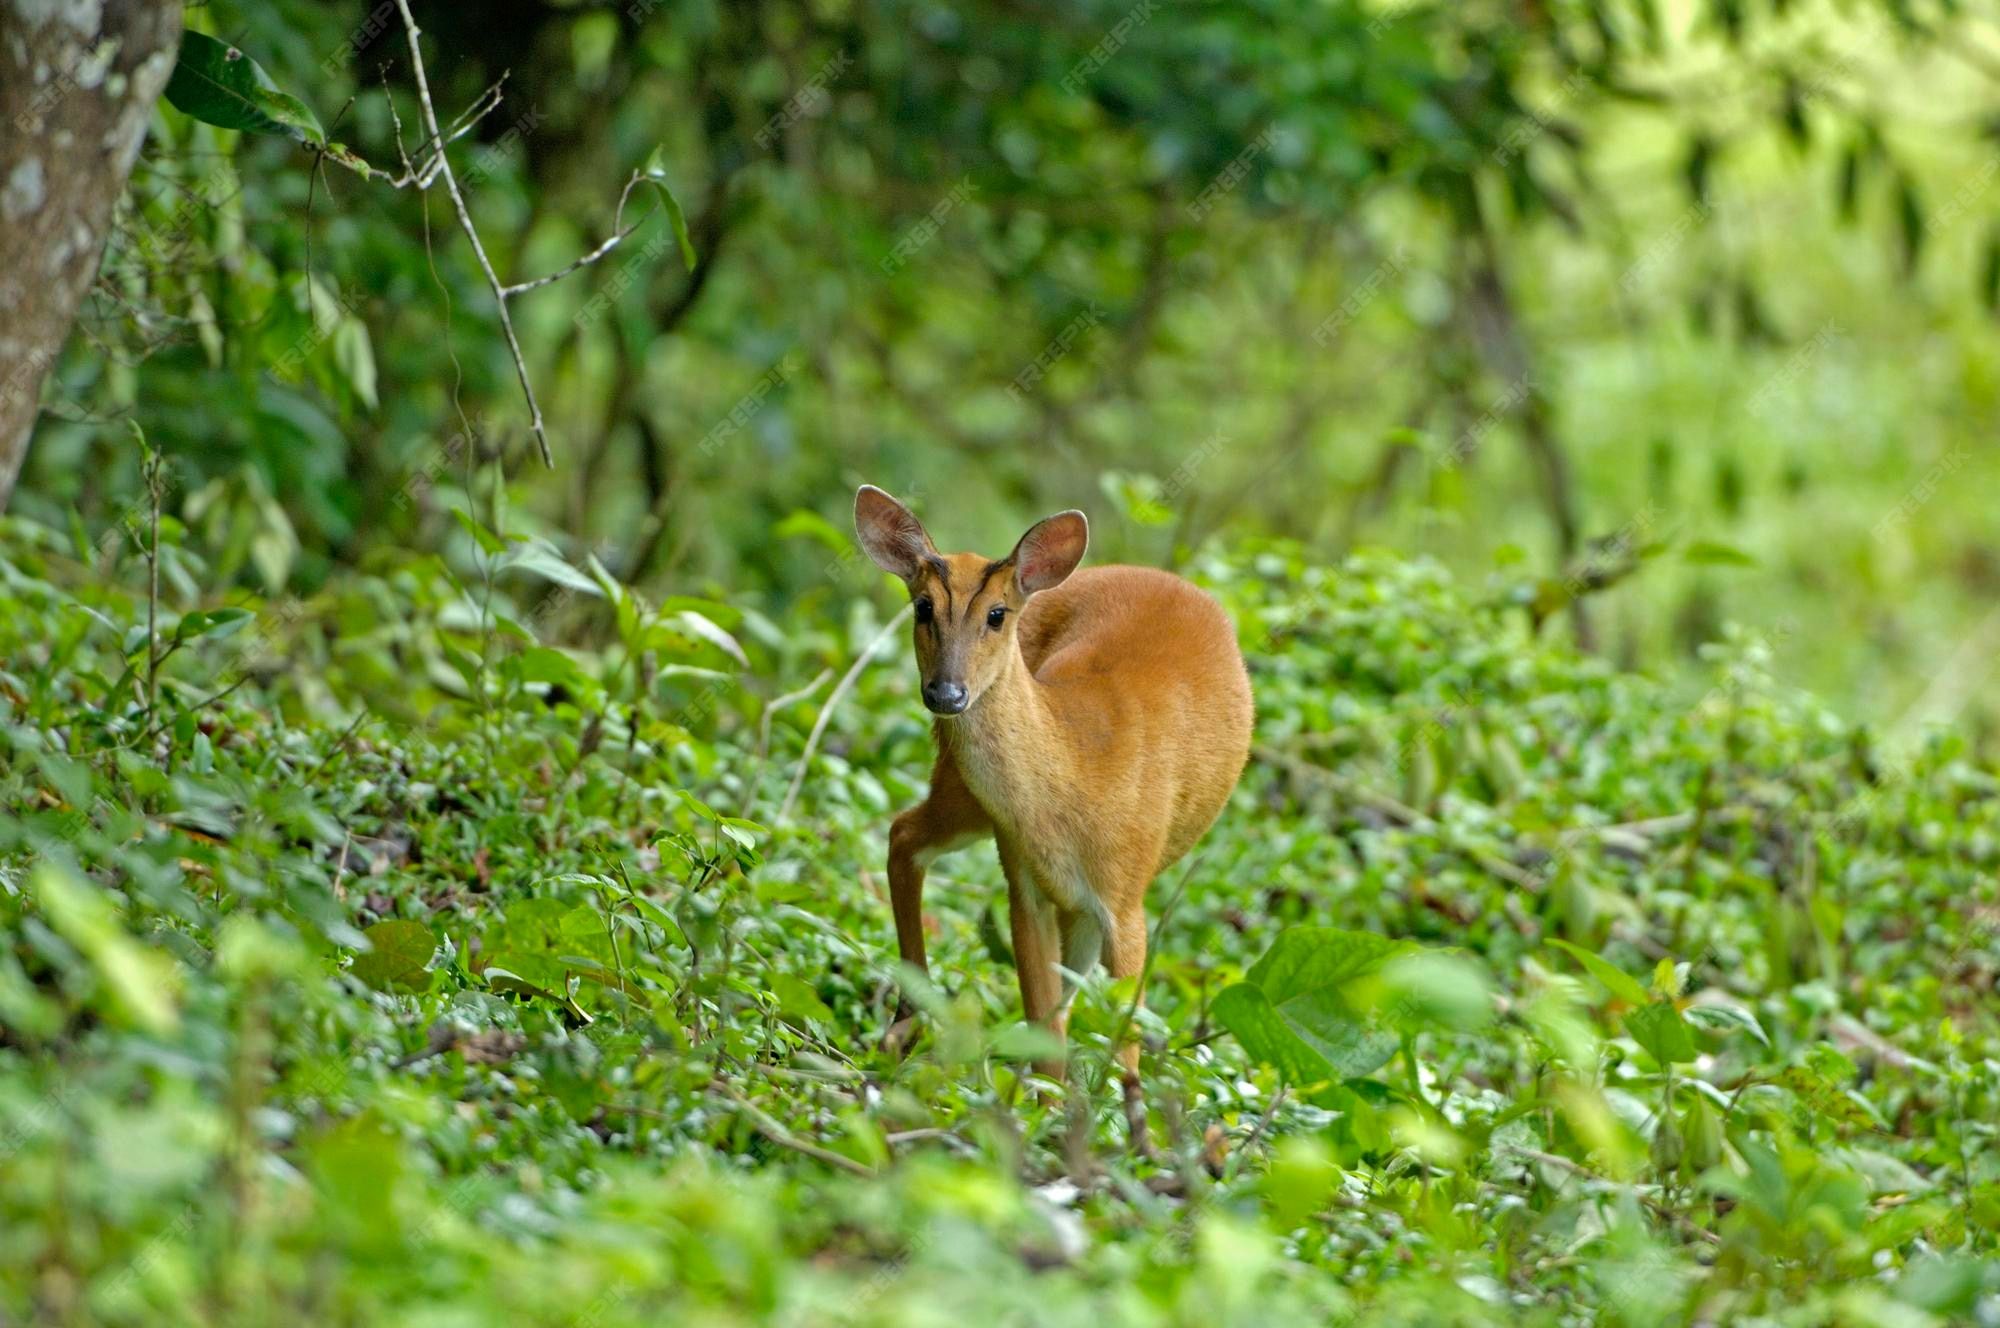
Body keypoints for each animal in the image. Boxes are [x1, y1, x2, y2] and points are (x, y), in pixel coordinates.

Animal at [854, 484, 1253, 1156]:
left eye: (997, 615)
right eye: (922, 607)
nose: (946, 693)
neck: (1079, 779)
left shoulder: (1125, 896)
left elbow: (1116, 1034)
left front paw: (1126, 1146)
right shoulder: (1024, 883)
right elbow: (1044, 1022)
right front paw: (1050, 1129)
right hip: (966, 797)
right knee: (903, 832)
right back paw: (905, 1027)